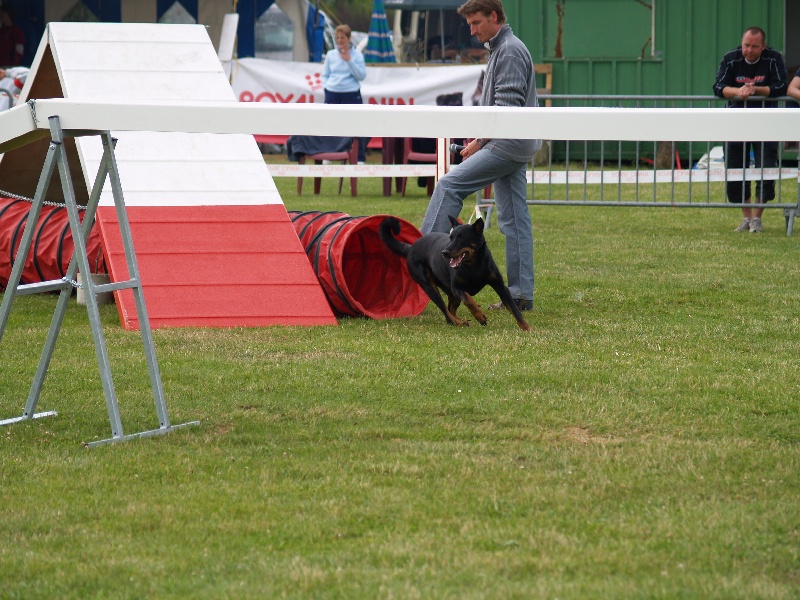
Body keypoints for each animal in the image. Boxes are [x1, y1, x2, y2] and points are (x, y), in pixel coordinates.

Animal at [380, 214, 532, 330]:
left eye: (461, 237)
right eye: (450, 237)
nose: (444, 252)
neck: (474, 265)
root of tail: (411, 248)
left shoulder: (500, 286)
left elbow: (514, 309)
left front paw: (527, 328)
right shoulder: (457, 288)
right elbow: (468, 300)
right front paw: (479, 315)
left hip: (449, 292)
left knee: (450, 308)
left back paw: (461, 321)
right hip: (429, 286)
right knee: (445, 310)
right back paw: (458, 322)